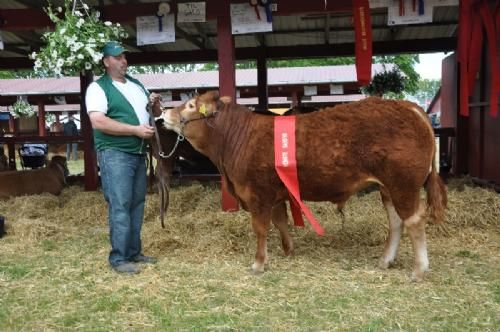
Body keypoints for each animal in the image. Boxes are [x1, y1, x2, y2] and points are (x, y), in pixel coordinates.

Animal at [159, 91, 446, 280]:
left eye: (191, 105)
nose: (162, 114)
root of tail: (410, 107)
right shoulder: (276, 194)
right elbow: (281, 222)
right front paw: (288, 250)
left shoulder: (258, 194)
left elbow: (261, 229)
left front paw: (258, 264)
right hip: (388, 188)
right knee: (396, 222)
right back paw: (385, 260)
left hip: (404, 185)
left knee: (414, 221)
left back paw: (418, 270)